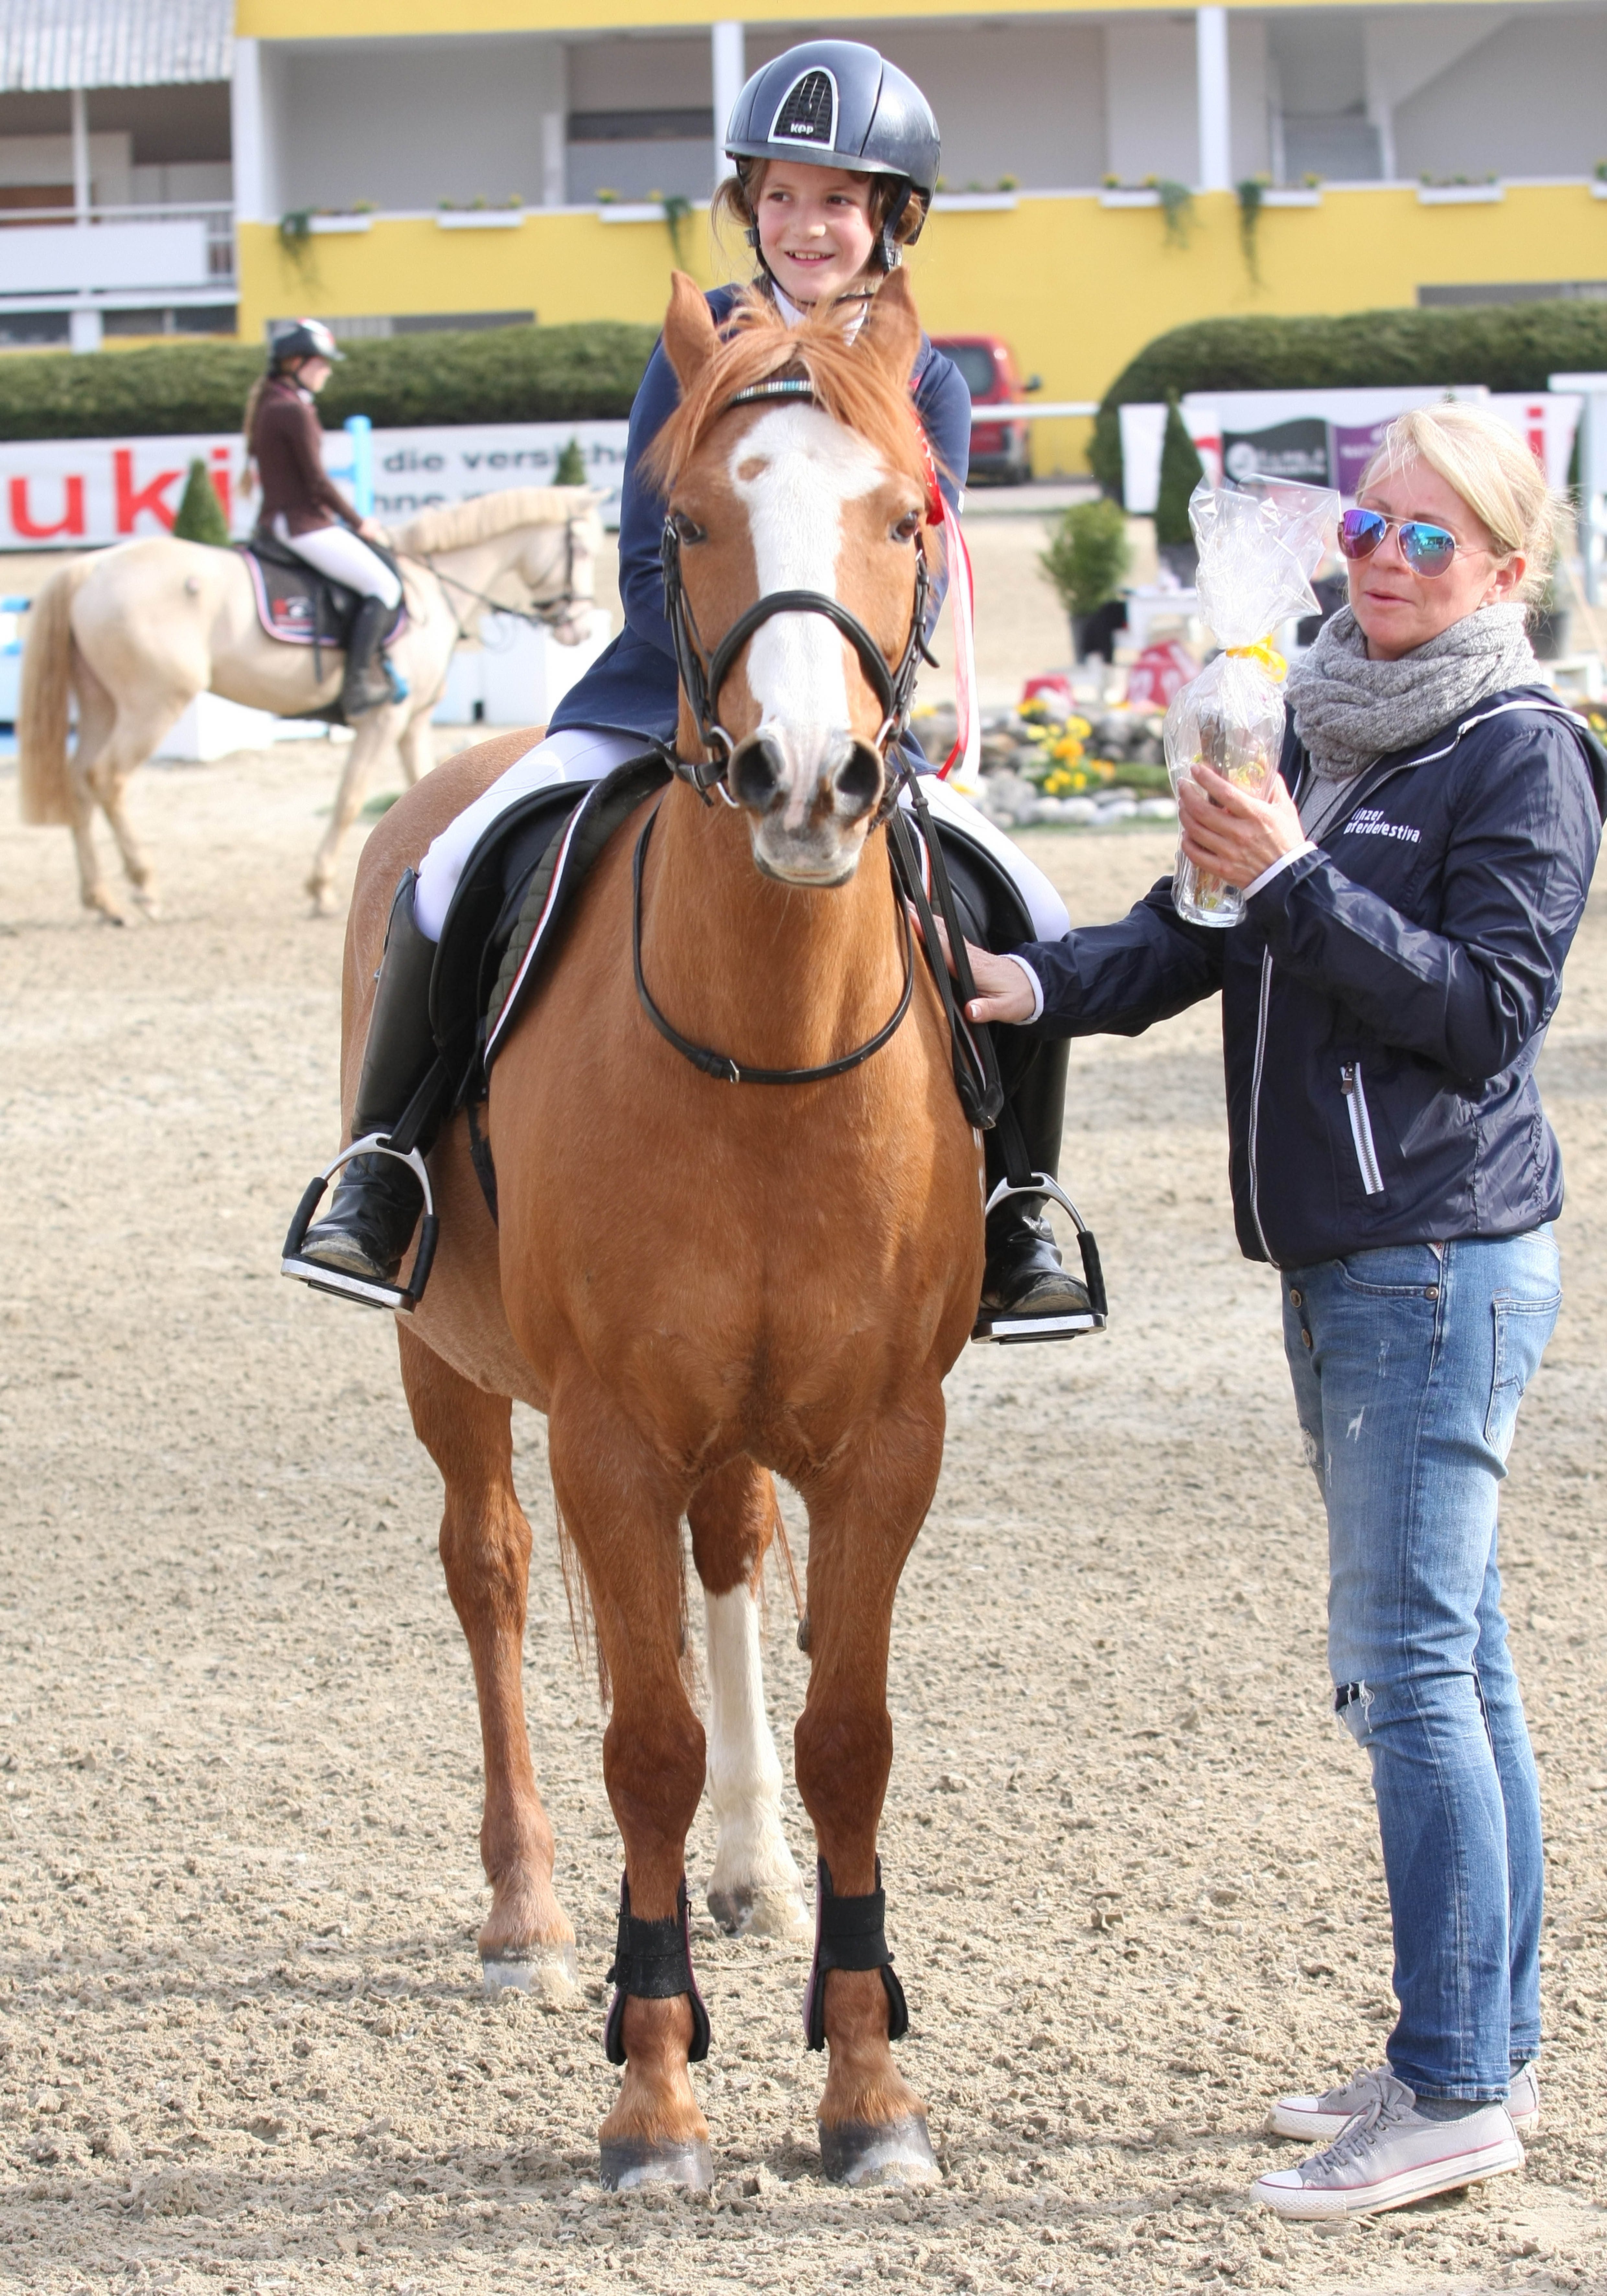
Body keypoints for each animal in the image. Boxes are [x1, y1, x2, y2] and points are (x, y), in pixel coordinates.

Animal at [17, 489, 601, 918]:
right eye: (584, 551)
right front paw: (320, 887)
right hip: (154, 702)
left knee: (80, 779)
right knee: (108, 777)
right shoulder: (383, 719)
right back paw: (143, 888)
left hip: (102, 703)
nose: (578, 627)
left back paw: (101, 899)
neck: (431, 585)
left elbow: (421, 783)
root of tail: (91, 568)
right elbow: (348, 799)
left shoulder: (412, 722)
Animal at [342, 269, 978, 2186]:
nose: (807, 777)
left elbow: (851, 1736)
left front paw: (868, 2090)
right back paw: (527, 1919)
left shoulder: (885, 1436)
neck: (763, 1041)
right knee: (488, 1575)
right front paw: (654, 2094)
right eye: (685, 518)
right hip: (446, 1365)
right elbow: (642, 1742)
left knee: (727, 1559)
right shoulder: (609, 1436)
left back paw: (753, 1871)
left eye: (907, 513)